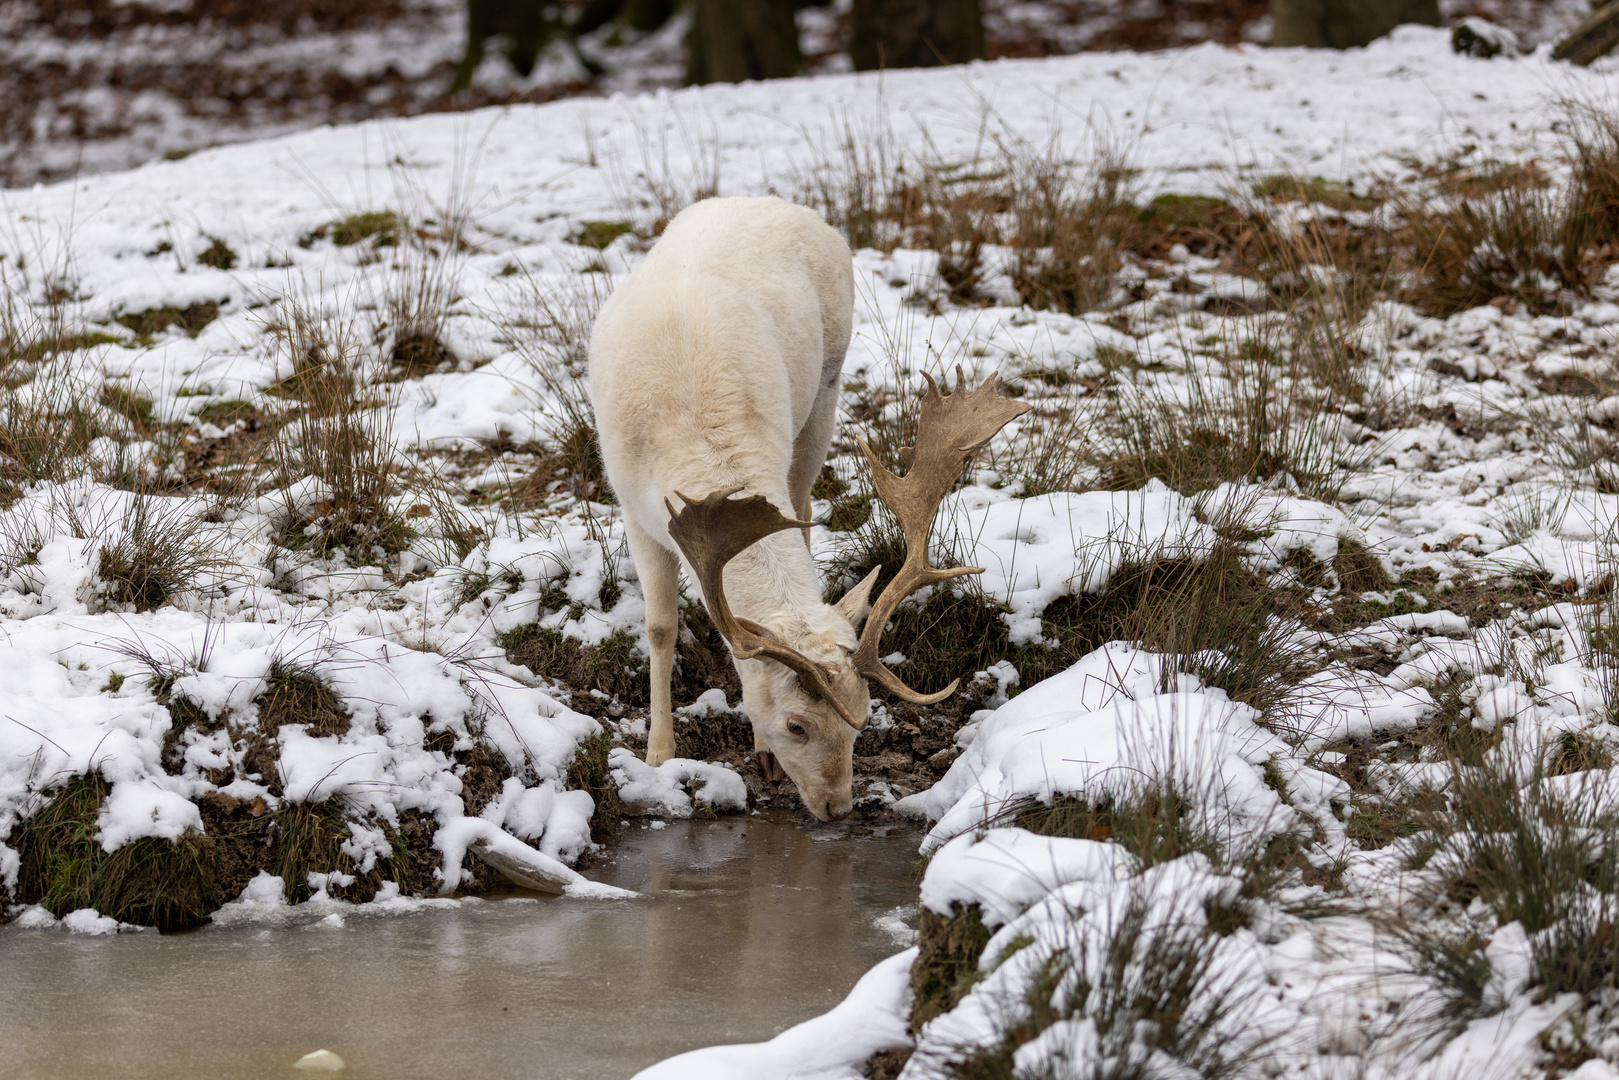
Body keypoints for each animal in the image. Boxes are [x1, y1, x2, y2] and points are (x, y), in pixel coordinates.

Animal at [592, 196, 1023, 819]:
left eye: (863, 719)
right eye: (797, 725)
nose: (838, 808)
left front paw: (756, 750)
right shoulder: (633, 509)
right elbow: (659, 627)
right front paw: (657, 755)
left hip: (826, 388)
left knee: (802, 509)